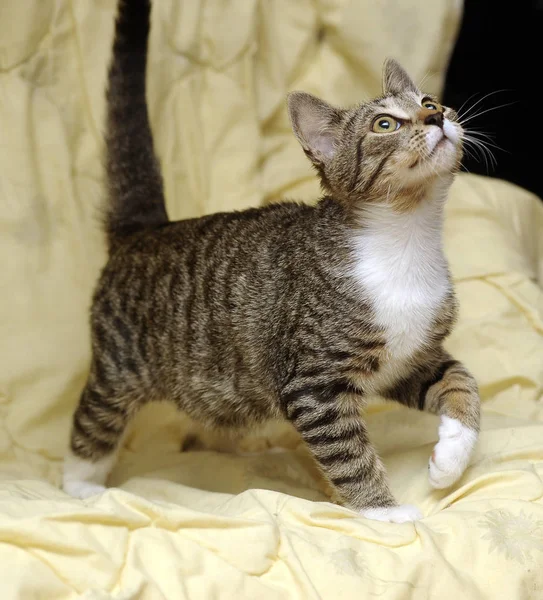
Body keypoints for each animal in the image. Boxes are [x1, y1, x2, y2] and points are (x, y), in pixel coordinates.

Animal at [61, 0, 482, 520]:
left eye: (430, 100)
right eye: (385, 124)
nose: (437, 116)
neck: (406, 239)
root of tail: (145, 232)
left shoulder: (409, 358)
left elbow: (461, 380)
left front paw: (452, 454)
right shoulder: (314, 384)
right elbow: (348, 452)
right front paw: (382, 511)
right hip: (119, 367)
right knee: (93, 417)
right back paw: (81, 485)